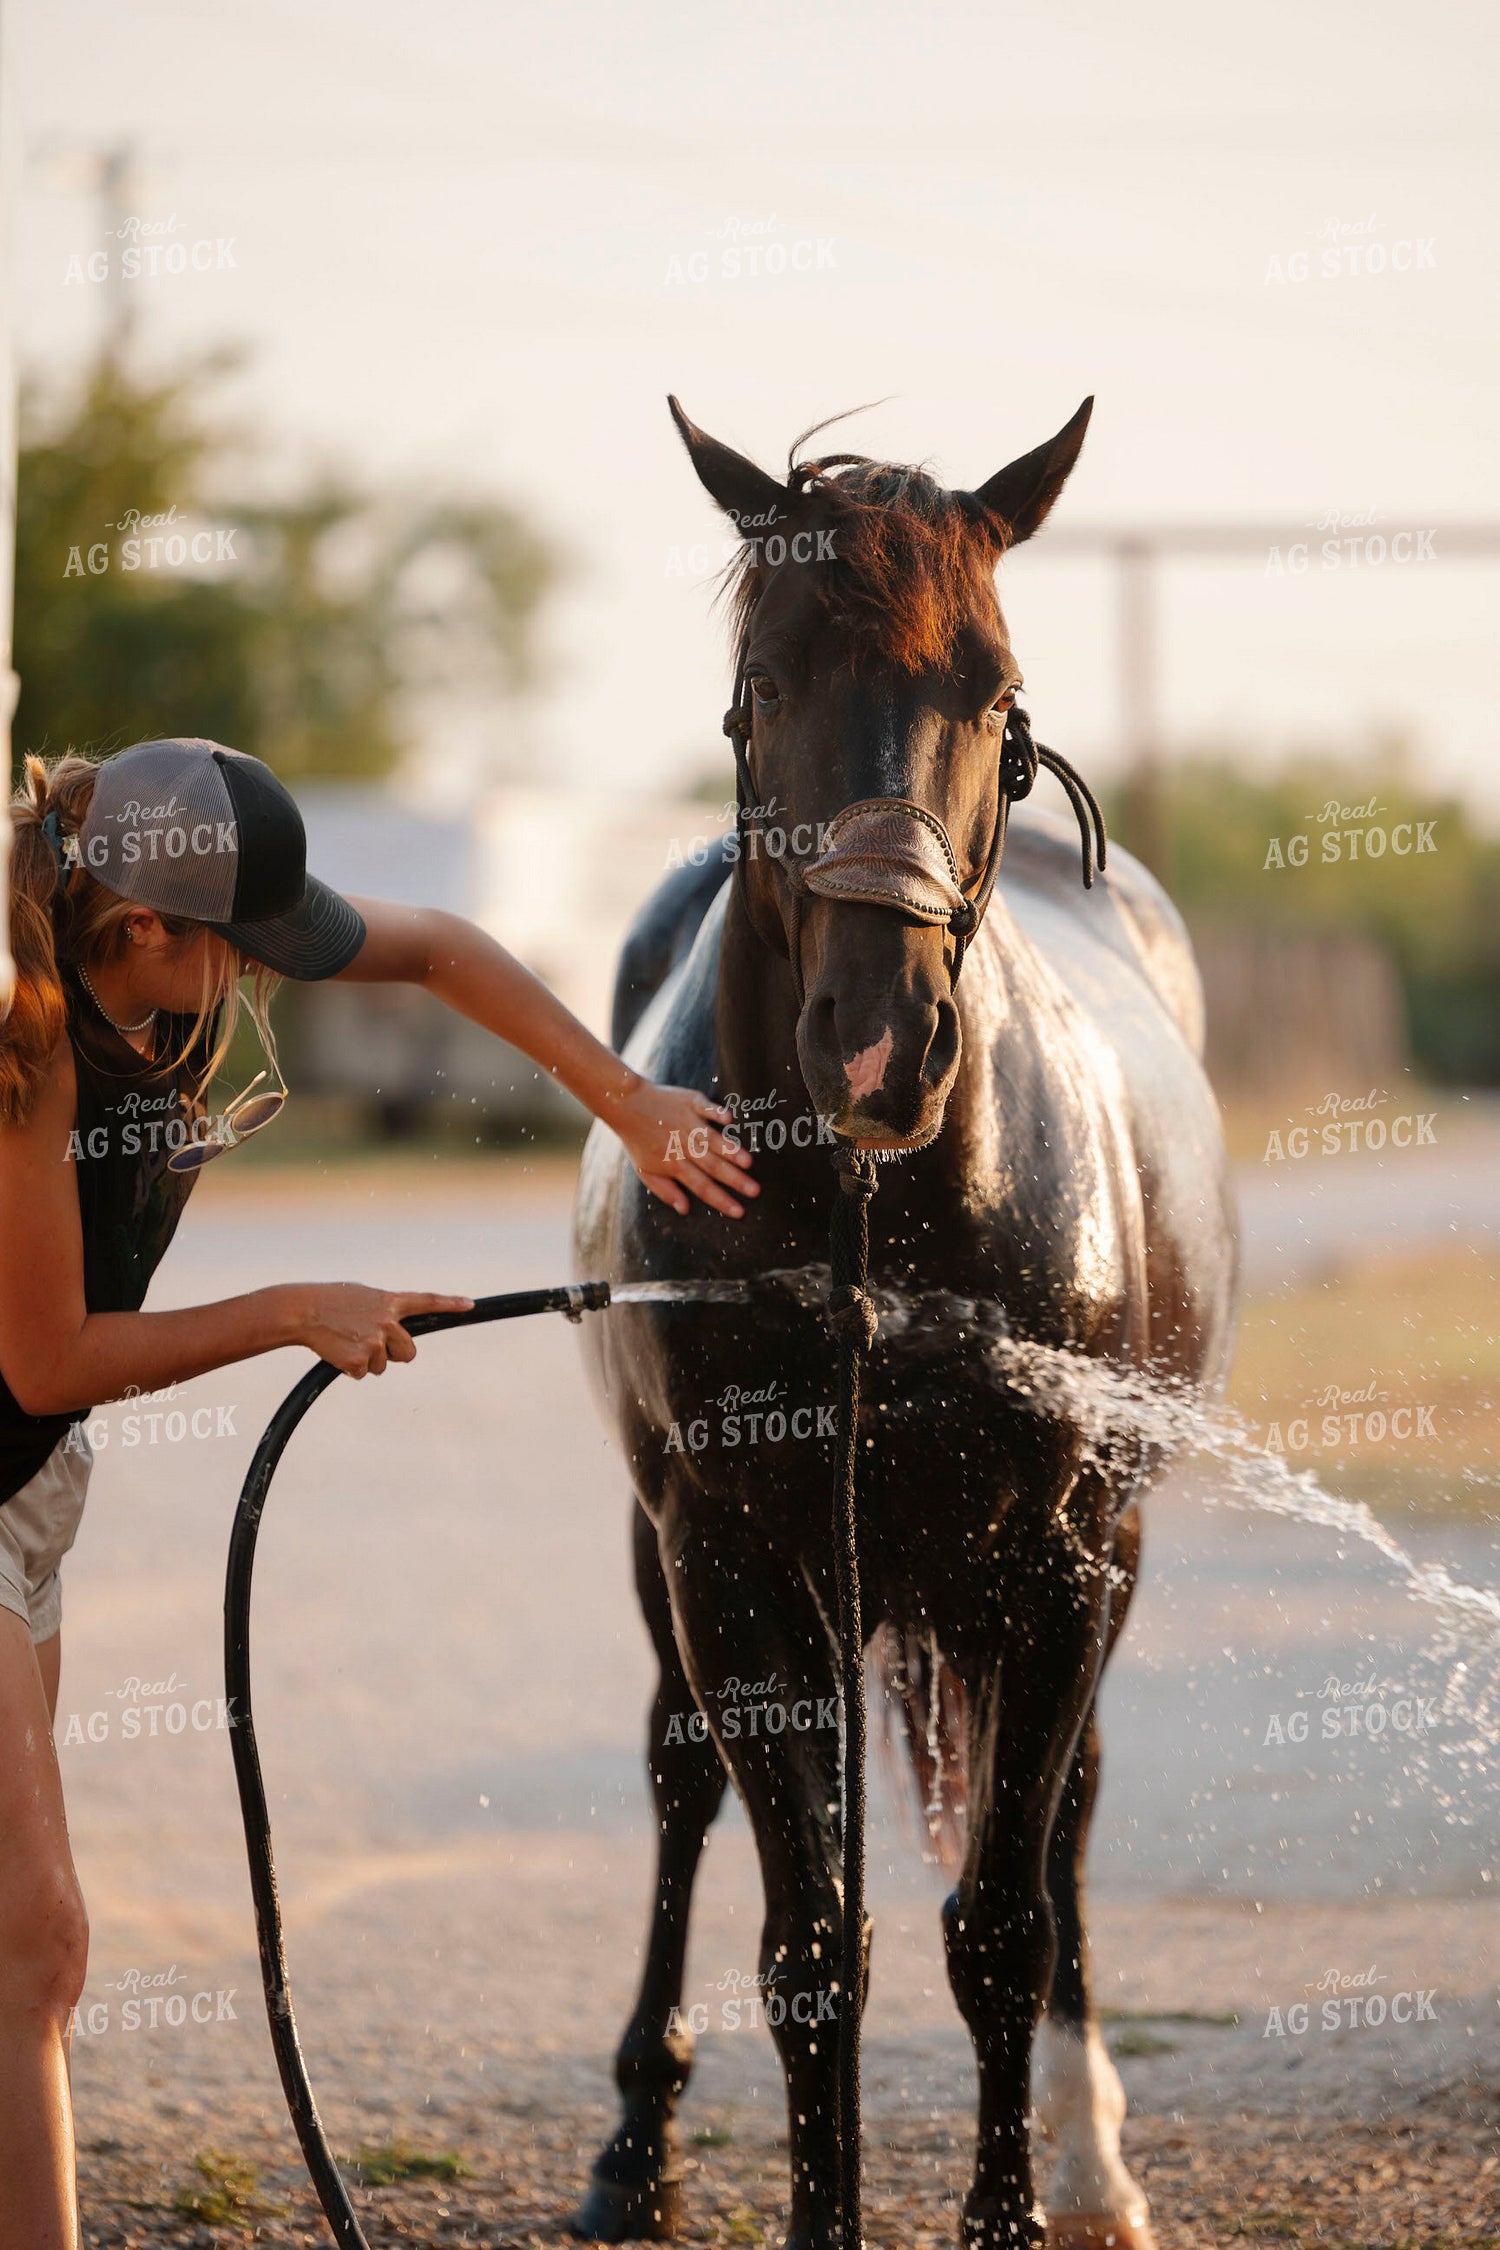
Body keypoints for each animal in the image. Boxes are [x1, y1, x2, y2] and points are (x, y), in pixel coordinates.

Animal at [571, 396, 1238, 2250]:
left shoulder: (1063, 1561)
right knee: (677, 1779)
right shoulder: (729, 1559)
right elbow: (811, 1952)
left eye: (997, 691)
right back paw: (634, 2145)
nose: (877, 1044)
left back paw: (1092, 2160)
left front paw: (1014, 2206)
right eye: (760, 683)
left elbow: (1002, 1924)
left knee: (1064, 1822)